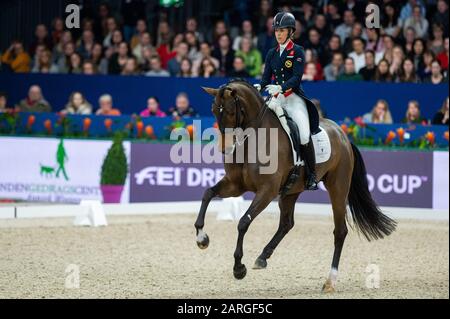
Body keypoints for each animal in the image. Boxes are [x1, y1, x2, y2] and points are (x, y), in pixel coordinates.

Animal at [195, 79, 396, 292]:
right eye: (214, 110)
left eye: (231, 111)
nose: (225, 149)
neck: (254, 139)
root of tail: (343, 135)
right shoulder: (235, 185)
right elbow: (207, 194)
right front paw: (202, 239)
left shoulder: (267, 191)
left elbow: (243, 222)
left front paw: (239, 268)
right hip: (291, 191)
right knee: (287, 223)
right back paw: (262, 257)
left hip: (338, 188)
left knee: (340, 231)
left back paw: (330, 281)